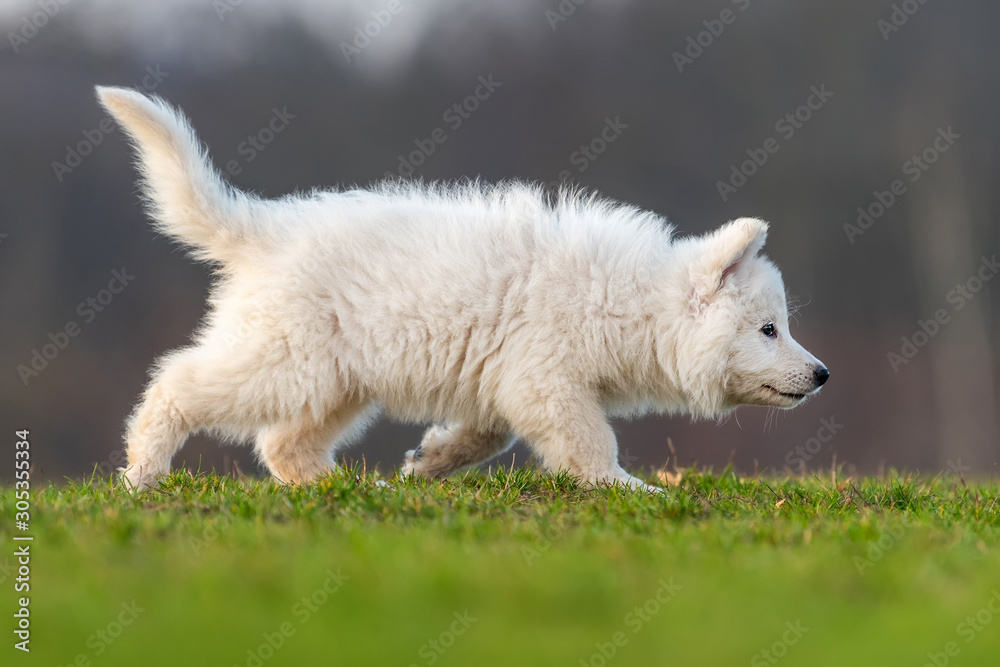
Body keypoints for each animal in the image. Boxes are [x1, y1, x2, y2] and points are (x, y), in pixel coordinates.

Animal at [97, 86, 828, 494]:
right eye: (768, 329)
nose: (823, 374)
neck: (630, 300)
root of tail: (265, 229)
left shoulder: (504, 381)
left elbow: (487, 436)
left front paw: (429, 464)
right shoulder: (547, 381)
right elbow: (591, 446)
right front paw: (634, 491)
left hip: (336, 379)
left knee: (284, 445)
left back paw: (351, 491)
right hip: (283, 363)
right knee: (177, 383)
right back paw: (142, 471)